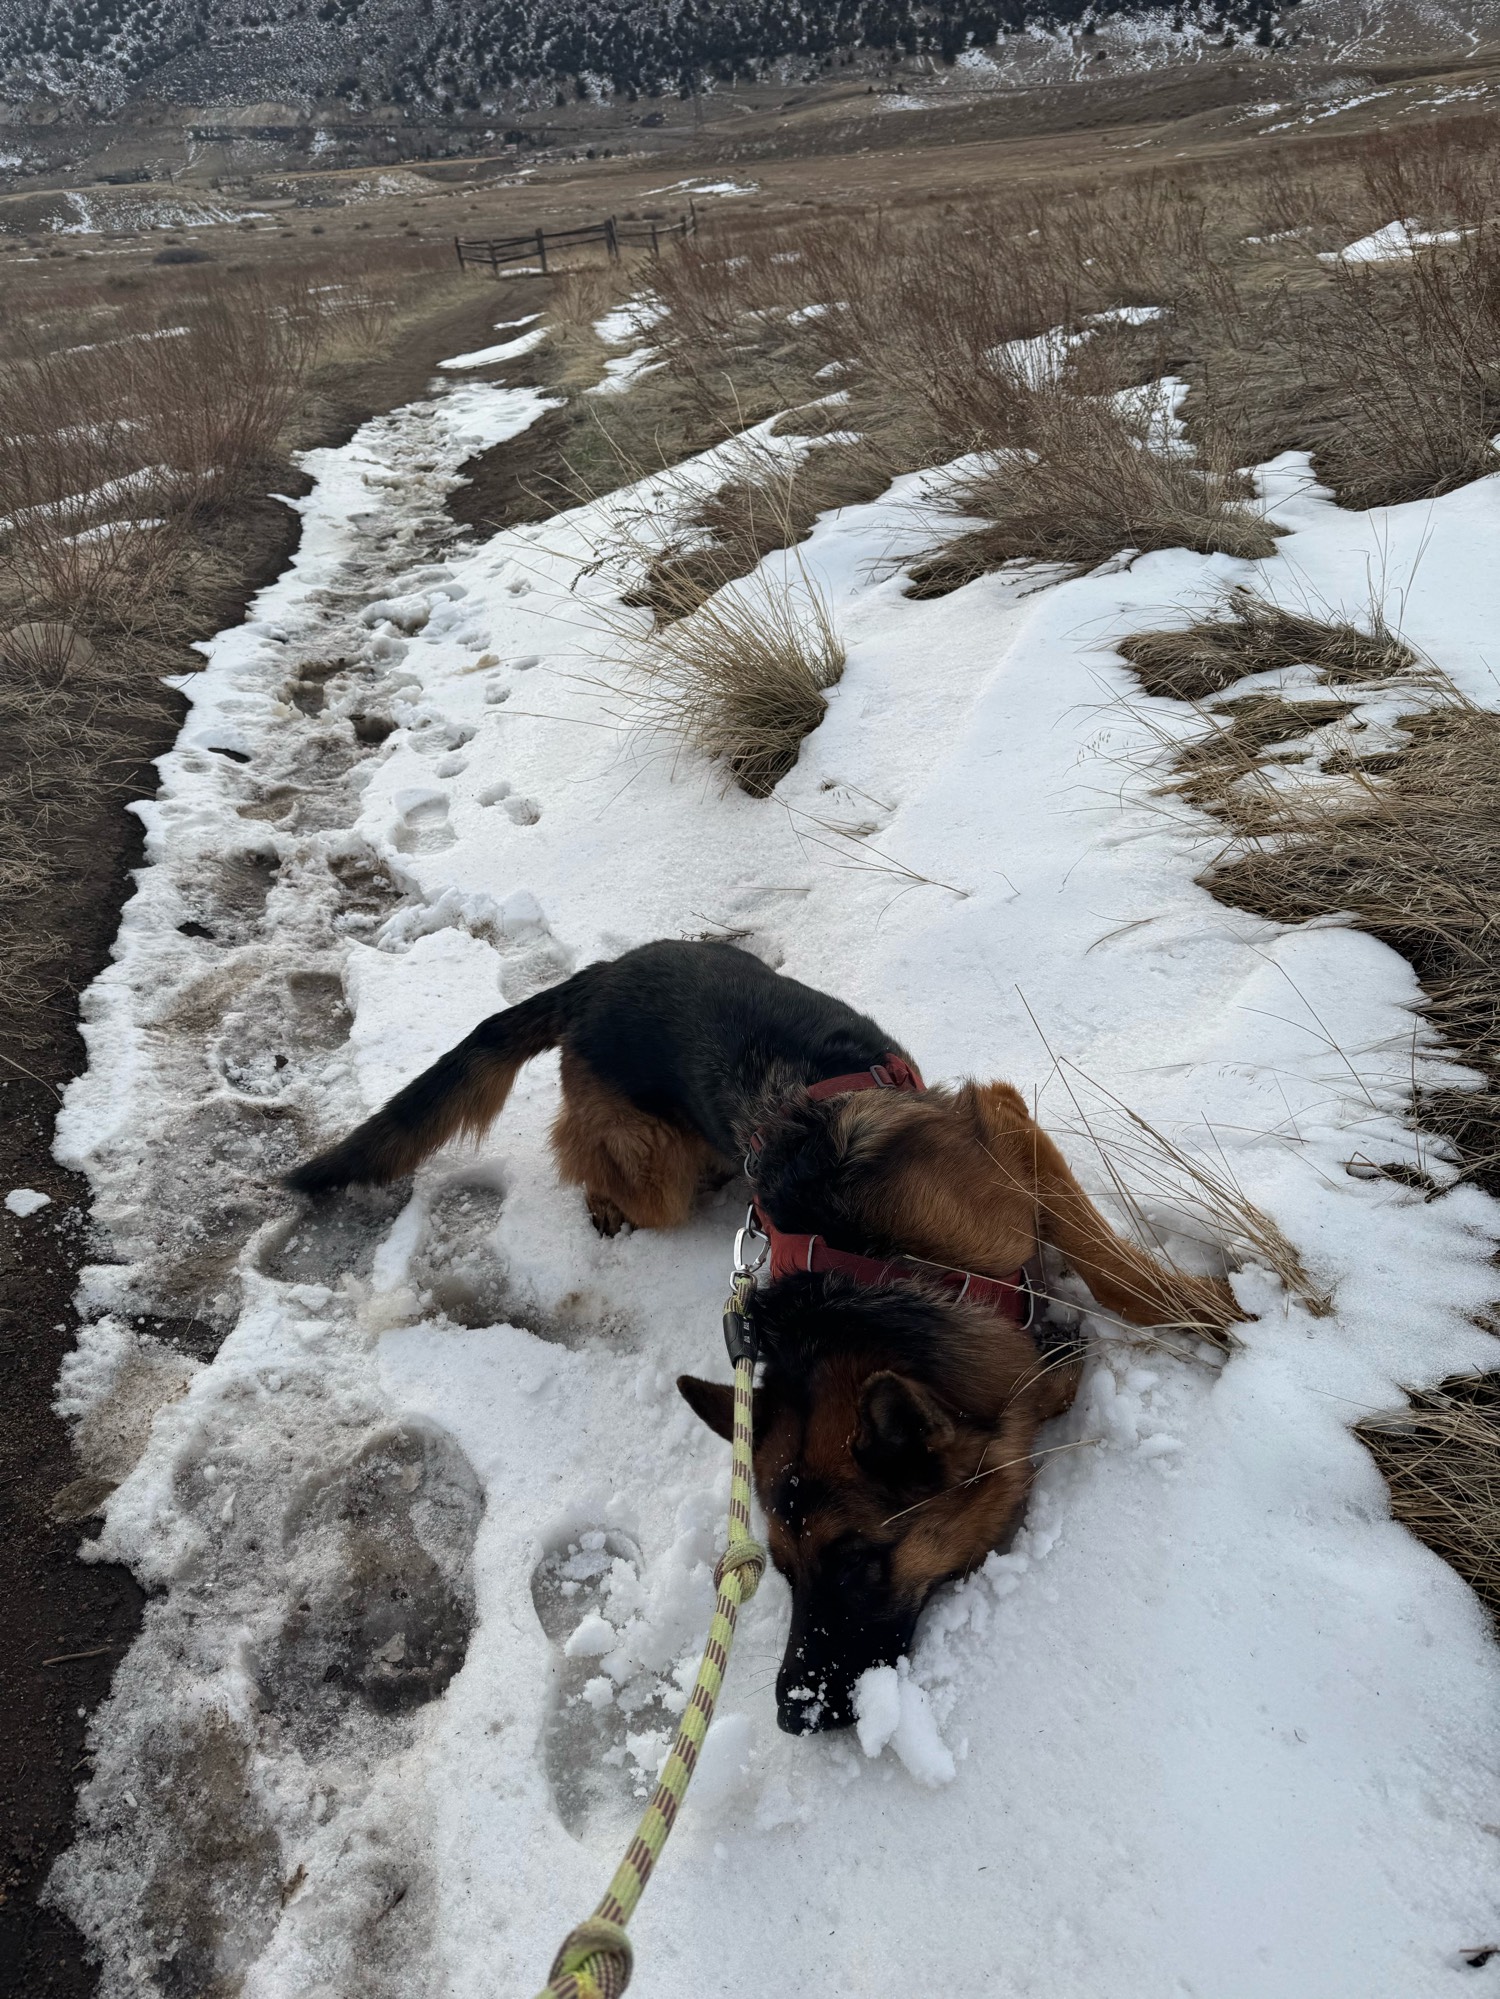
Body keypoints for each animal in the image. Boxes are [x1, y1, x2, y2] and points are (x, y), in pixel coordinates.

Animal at [287, 938, 1237, 1732]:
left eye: (856, 1564)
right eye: (780, 1568)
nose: (790, 1711)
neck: (885, 1270)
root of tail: (599, 974)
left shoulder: (1008, 1128)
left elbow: (1107, 1265)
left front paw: (1213, 1317)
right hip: (656, 1162)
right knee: (588, 1153)